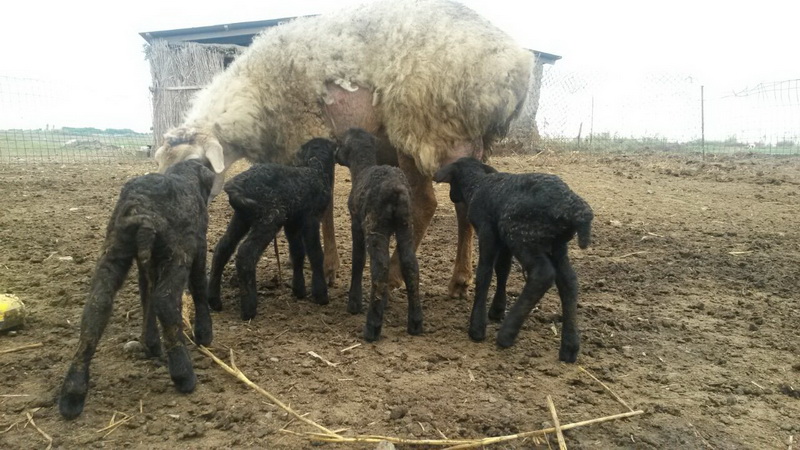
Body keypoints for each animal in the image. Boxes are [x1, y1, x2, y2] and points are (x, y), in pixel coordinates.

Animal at [57, 158, 217, 418]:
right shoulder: (199, 245)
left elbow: (145, 294)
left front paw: (151, 344)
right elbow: (199, 286)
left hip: (115, 247)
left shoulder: (147, 262)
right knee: (165, 300)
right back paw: (184, 375)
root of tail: (140, 211)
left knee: (98, 304)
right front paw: (204, 335)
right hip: (177, 252)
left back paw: (72, 395)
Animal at [154, 0, 536, 292]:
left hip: (423, 126)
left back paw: (395, 275)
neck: (255, 95)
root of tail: (517, 67)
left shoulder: (309, 135)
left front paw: (329, 267)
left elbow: (322, 204)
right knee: (464, 203)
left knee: (426, 203)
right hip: (464, 141)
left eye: (198, 166)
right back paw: (459, 280)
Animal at [208, 137, 336, 320]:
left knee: (222, 248)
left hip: (241, 217)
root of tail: (235, 187)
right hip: (270, 217)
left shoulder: (292, 222)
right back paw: (249, 309)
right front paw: (321, 295)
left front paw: (299, 291)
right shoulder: (311, 218)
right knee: (246, 254)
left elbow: (298, 253)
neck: (315, 168)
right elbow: (315, 254)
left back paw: (214, 301)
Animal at [334, 128, 422, 342]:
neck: (362, 167)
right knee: (410, 265)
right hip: (406, 225)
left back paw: (372, 327)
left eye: (339, 144)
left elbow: (358, 260)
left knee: (379, 267)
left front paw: (354, 303)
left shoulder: (356, 224)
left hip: (375, 225)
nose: (334, 155)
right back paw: (415, 323)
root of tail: (397, 191)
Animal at [432, 158, 592, 362]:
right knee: (569, 281)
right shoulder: (503, 242)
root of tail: (576, 210)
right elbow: (503, 270)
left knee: (542, 275)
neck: (476, 185)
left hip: (522, 235)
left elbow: (484, 273)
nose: (452, 197)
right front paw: (497, 310)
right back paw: (569, 348)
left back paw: (507, 334)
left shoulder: (488, 231)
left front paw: (477, 328)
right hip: (556, 245)